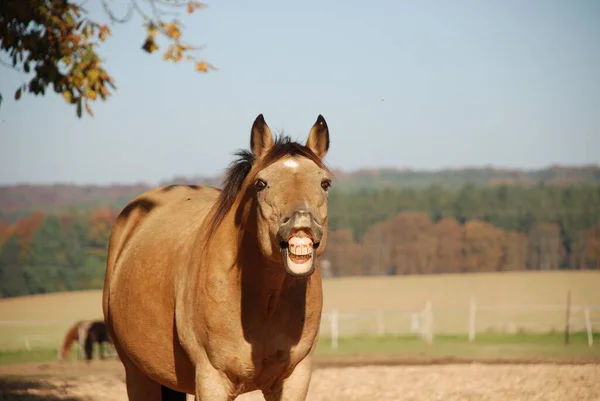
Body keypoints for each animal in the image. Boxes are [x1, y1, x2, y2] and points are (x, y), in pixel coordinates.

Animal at [101, 113, 330, 400]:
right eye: (261, 183)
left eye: (325, 183)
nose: (301, 224)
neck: (262, 301)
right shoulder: (212, 379)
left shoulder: (294, 378)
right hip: (138, 374)